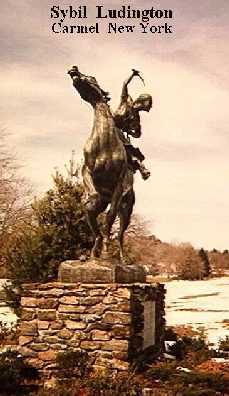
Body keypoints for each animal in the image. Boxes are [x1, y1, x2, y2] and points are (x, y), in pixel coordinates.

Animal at [67, 66, 134, 262]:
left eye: (93, 77)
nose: (74, 69)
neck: (105, 141)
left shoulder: (119, 182)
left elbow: (109, 219)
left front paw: (105, 252)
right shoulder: (87, 171)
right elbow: (92, 200)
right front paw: (95, 253)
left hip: (127, 211)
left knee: (120, 234)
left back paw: (121, 258)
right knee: (96, 222)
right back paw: (91, 254)